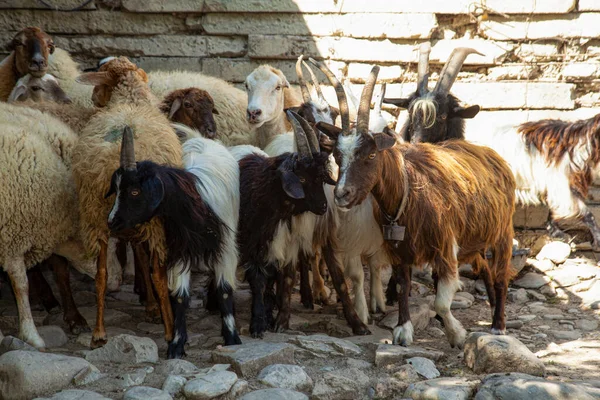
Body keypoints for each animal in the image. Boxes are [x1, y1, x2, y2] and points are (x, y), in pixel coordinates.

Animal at [106, 127, 240, 356]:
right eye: (115, 190)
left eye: (134, 191)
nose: (112, 222)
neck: (195, 205)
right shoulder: (179, 249)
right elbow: (179, 296)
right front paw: (177, 344)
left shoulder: (226, 249)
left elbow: (225, 290)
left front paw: (232, 337)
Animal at [318, 67, 516, 348]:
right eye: (337, 155)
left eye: (371, 155)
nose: (342, 194)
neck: (409, 190)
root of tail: (490, 154)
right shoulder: (400, 248)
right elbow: (403, 286)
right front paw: (403, 329)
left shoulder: (445, 247)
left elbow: (441, 301)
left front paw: (457, 334)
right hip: (474, 238)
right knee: (487, 270)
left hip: (503, 232)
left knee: (501, 275)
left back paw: (498, 325)